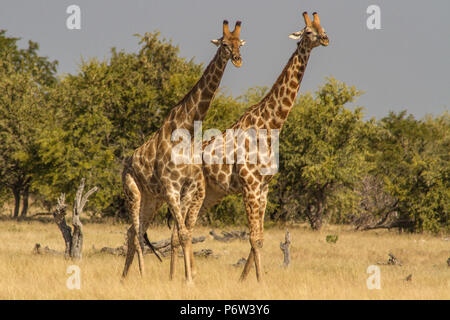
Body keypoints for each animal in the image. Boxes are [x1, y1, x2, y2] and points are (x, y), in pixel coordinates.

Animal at [121, 19, 244, 282]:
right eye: (224, 44)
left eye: (240, 42)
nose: (238, 59)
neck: (186, 129)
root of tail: (127, 163)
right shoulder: (171, 188)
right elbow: (184, 233)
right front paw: (188, 280)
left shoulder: (191, 188)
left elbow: (184, 232)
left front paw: (189, 277)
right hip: (133, 192)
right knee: (135, 234)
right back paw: (141, 276)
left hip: (152, 199)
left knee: (134, 231)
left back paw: (124, 277)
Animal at [169, 10, 330, 280]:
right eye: (308, 31)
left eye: (323, 28)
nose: (326, 39)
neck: (270, 125)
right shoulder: (250, 186)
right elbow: (254, 238)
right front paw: (260, 281)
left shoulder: (263, 188)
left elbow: (260, 239)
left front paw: (243, 280)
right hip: (188, 192)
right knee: (180, 231)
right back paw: (180, 277)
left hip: (209, 195)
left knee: (182, 230)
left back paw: (182, 276)